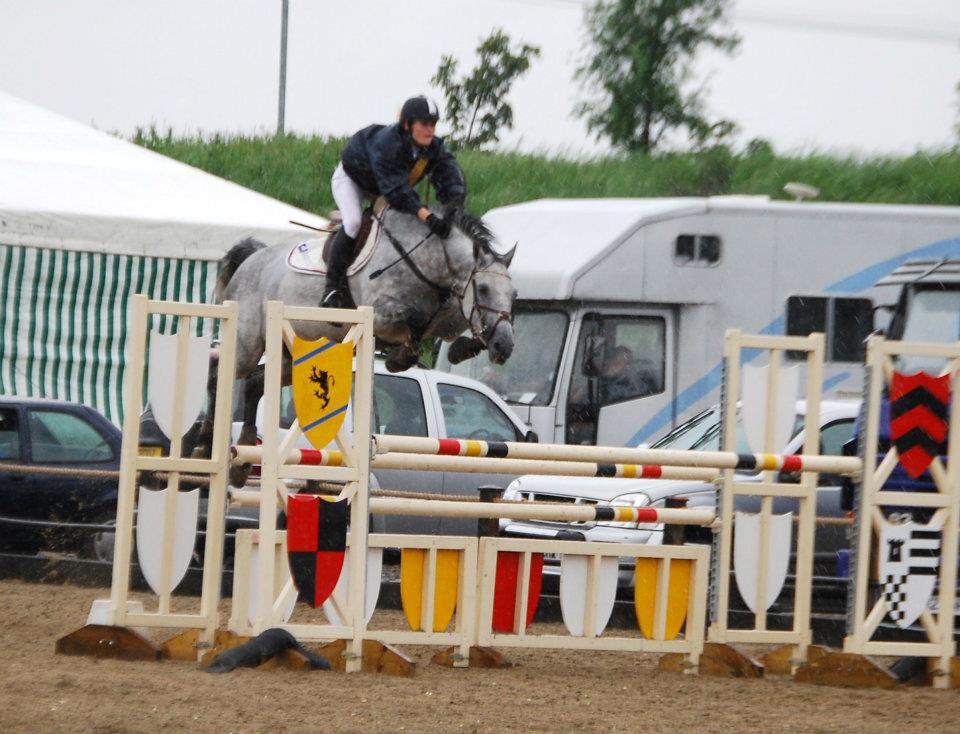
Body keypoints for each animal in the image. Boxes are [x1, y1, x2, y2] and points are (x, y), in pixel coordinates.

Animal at [201, 210, 516, 480]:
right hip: (247, 345)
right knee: (220, 376)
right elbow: (414, 319)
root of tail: (250, 260)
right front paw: (400, 356)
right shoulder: (381, 311)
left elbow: (450, 323)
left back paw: (241, 461)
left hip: (296, 355)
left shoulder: (448, 314)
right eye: (483, 289)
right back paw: (205, 447)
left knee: (255, 384)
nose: (505, 347)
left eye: (513, 295)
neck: (428, 266)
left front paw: (462, 348)